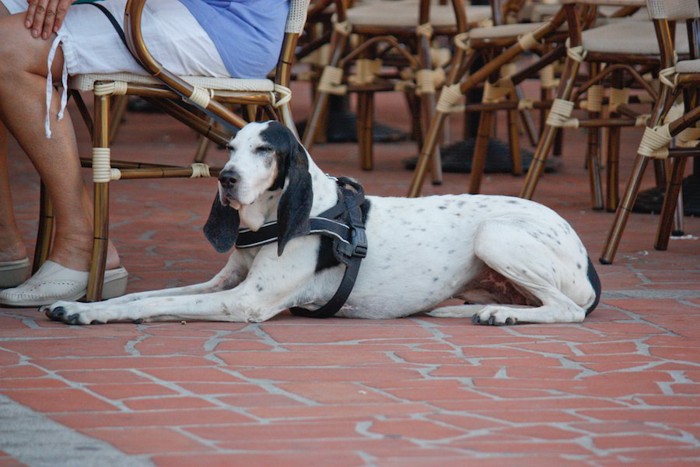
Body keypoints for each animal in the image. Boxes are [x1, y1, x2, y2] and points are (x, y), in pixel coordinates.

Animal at [45, 120, 600, 326]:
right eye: (230, 148)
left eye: (265, 150)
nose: (226, 179)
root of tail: (587, 258)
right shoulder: (223, 282)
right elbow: (139, 296)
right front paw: (80, 305)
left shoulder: (243, 302)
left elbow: (154, 305)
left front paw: (89, 314)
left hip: (496, 235)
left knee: (568, 310)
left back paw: (502, 315)